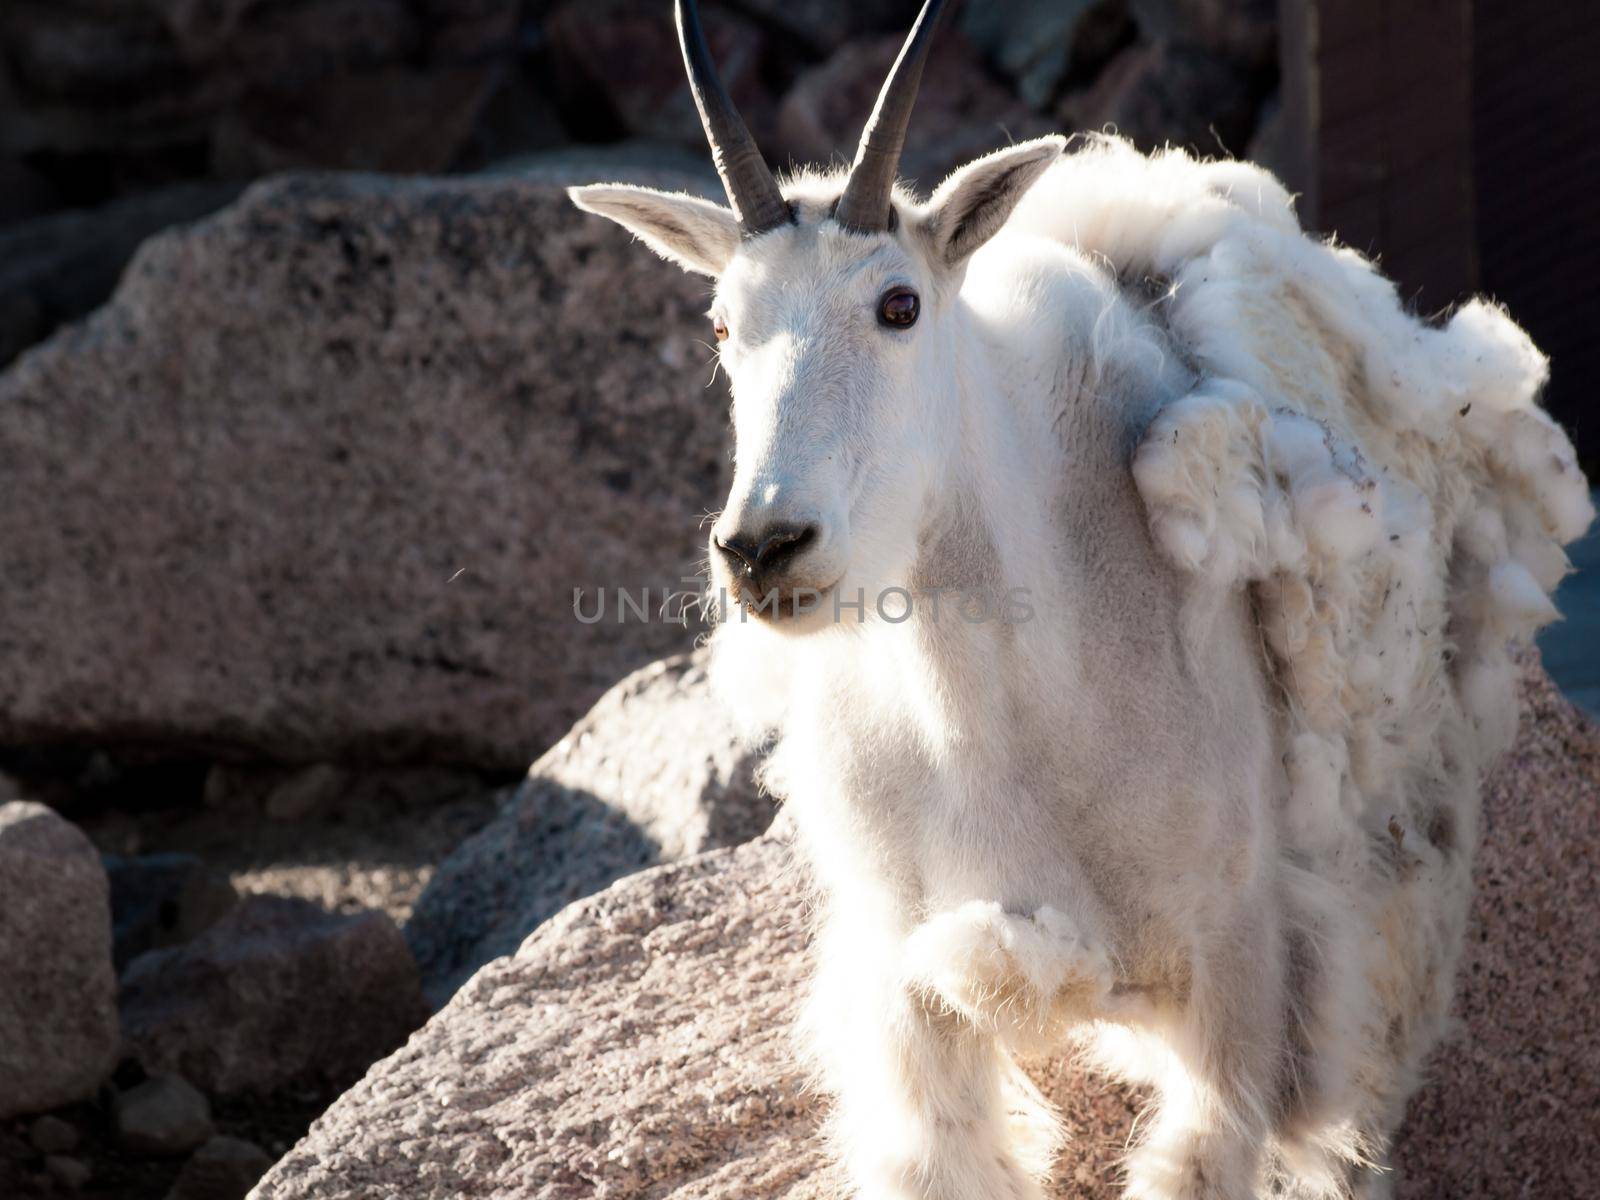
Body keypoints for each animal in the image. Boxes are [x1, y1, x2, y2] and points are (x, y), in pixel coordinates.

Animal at [569, 4, 1593, 1196]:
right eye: (725, 325)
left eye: (899, 304)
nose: (764, 549)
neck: (994, 706)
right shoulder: (917, 979)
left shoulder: (1237, 969)